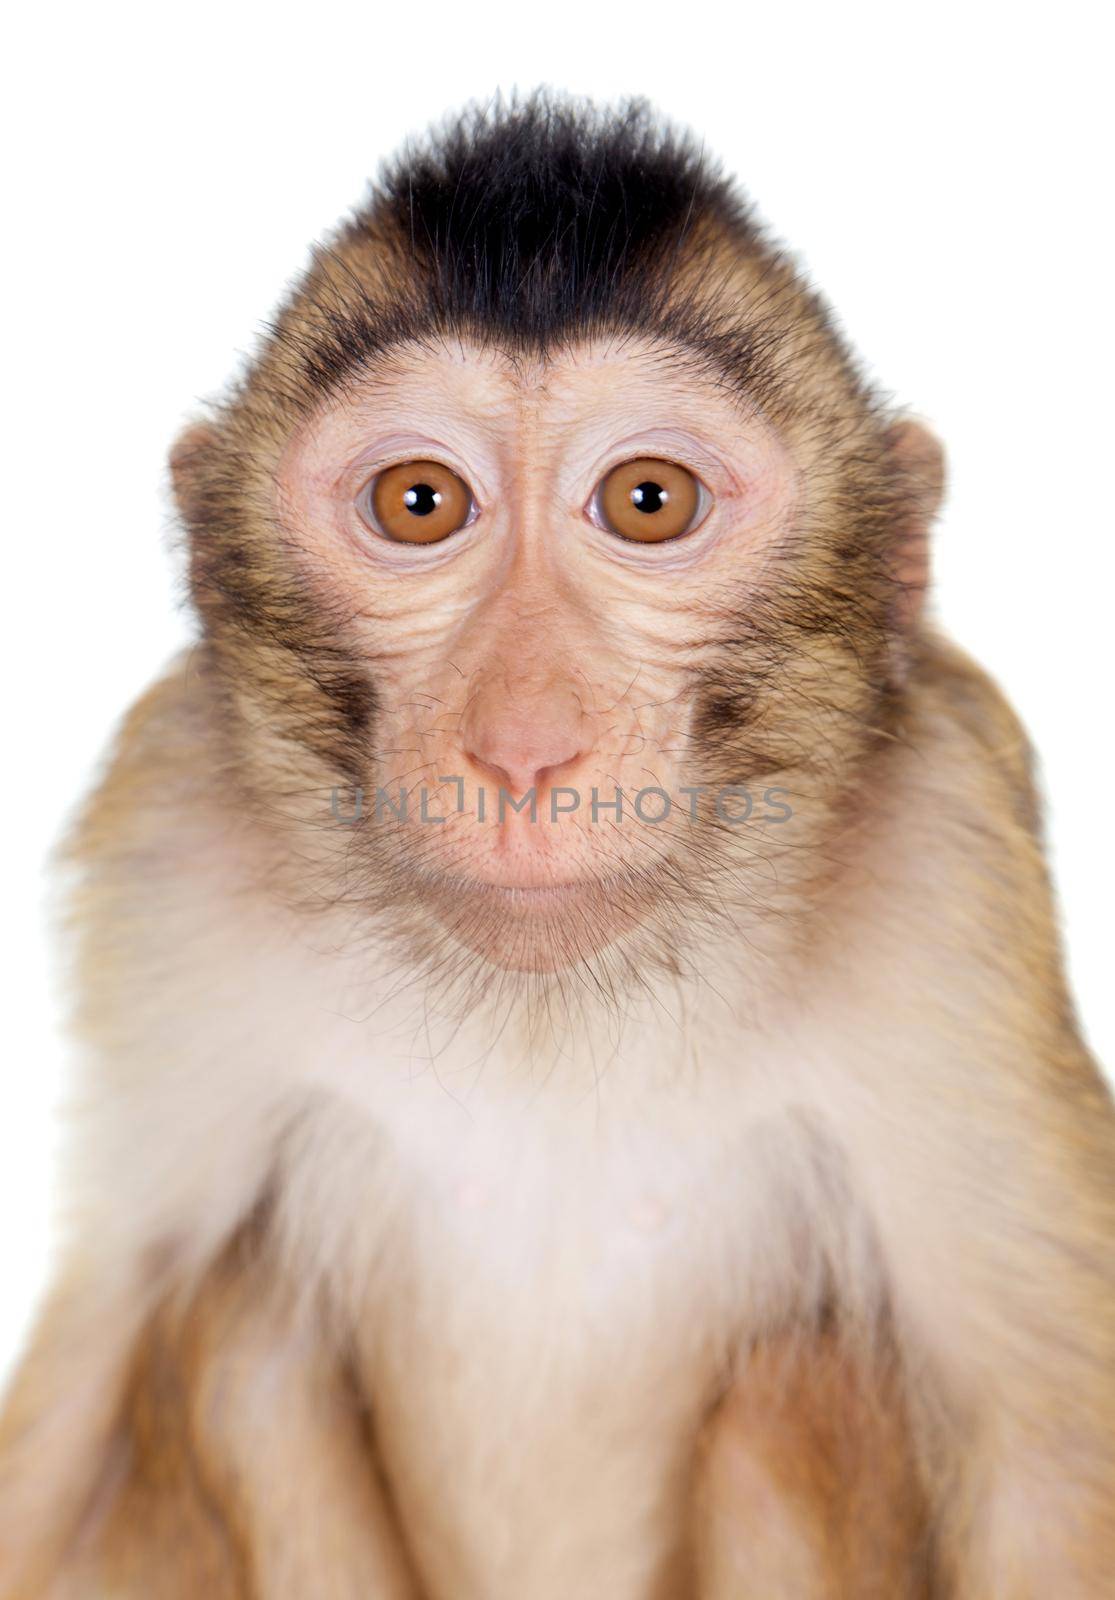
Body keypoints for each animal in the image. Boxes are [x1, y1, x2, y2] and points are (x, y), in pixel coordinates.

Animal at [0, 93, 1107, 1593]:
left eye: (647, 501)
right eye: (418, 502)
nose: (523, 746)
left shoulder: (950, 846)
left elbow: (1044, 1448)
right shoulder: (167, 820)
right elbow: (91, 1358)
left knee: (788, 1389)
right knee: (238, 1332)